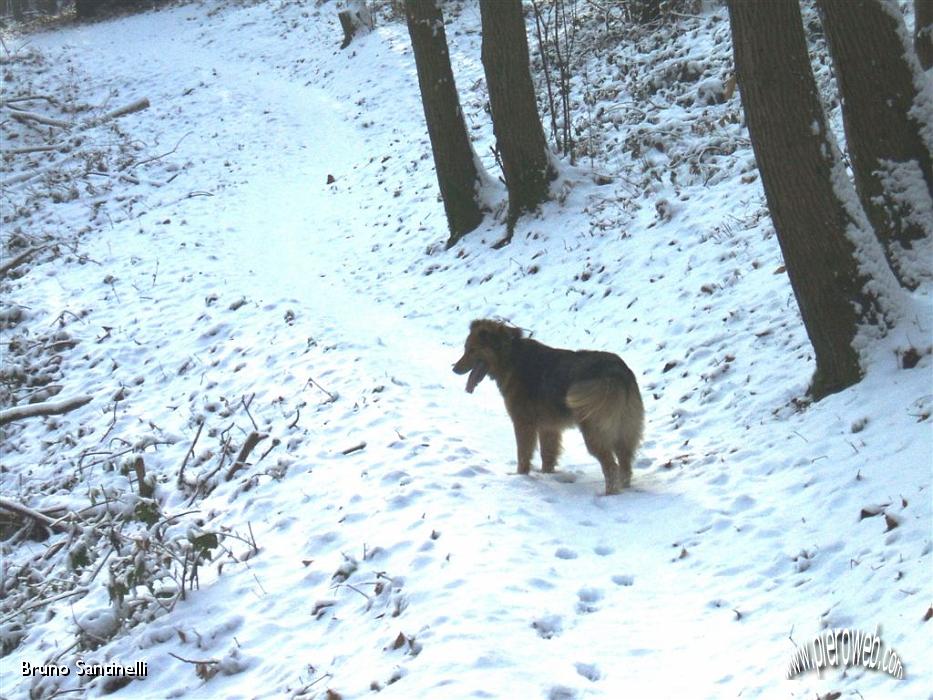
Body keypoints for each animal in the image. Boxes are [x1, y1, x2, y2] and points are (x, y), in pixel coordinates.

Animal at [450, 320, 640, 494]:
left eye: (472, 350)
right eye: (466, 349)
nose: (454, 369)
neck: (511, 356)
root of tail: (618, 371)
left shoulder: (523, 423)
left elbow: (523, 454)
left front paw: (520, 476)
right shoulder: (548, 427)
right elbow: (547, 455)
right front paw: (547, 475)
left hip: (594, 432)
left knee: (611, 466)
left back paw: (609, 494)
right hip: (624, 430)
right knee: (625, 464)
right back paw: (624, 488)